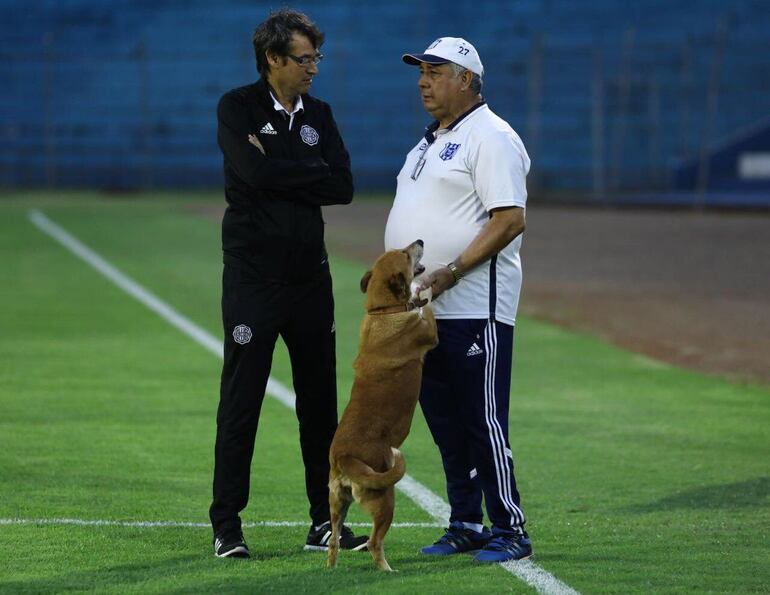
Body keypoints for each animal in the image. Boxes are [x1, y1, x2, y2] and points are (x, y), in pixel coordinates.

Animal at [326, 241, 438, 572]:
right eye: (405, 254)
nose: (419, 240)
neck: (383, 312)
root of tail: (344, 458)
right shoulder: (429, 332)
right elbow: (426, 307)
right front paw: (421, 291)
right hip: (386, 499)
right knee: (375, 542)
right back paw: (387, 570)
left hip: (337, 505)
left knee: (333, 541)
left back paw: (331, 569)